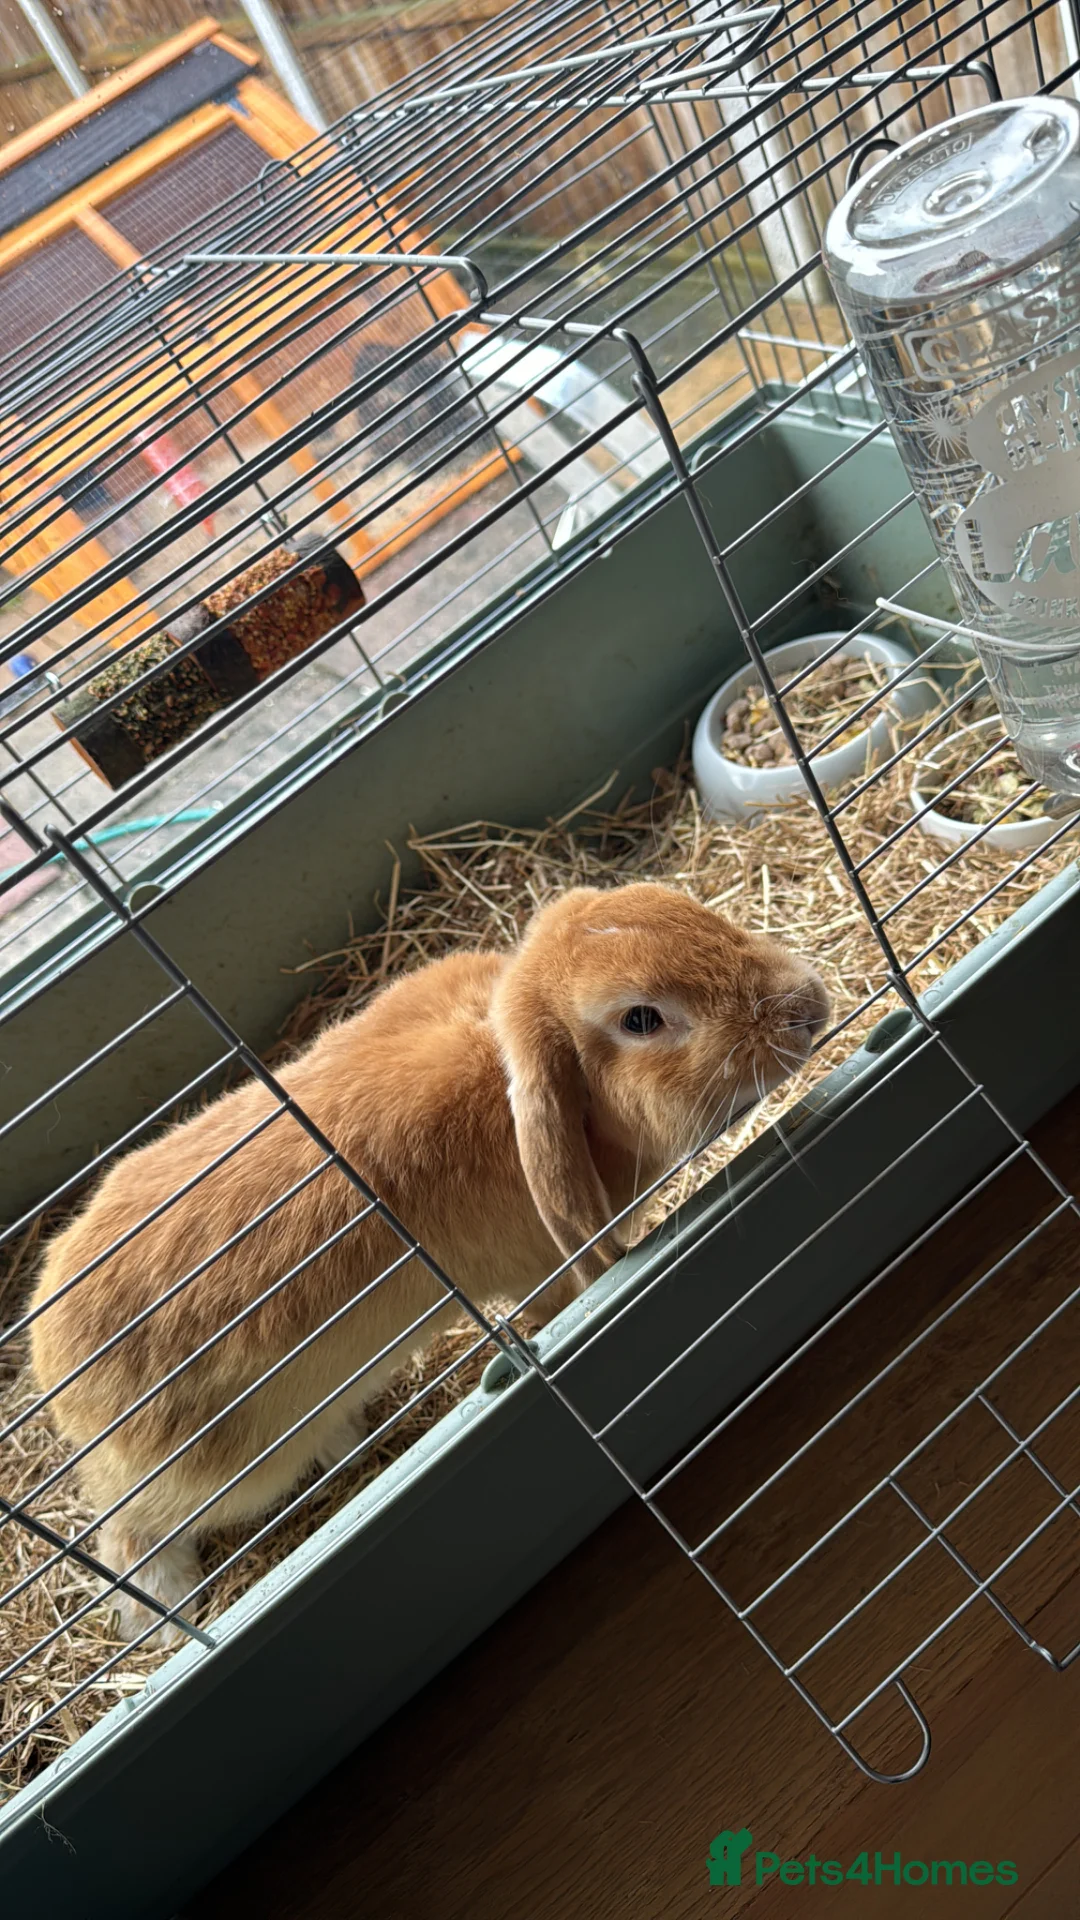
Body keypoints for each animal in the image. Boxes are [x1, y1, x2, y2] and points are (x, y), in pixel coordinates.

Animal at [29, 882, 829, 1643]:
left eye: (683, 908)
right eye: (640, 1020)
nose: (809, 1003)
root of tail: (56, 1377)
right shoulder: (535, 1274)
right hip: (226, 1474)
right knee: (130, 1531)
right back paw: (163, 1615)